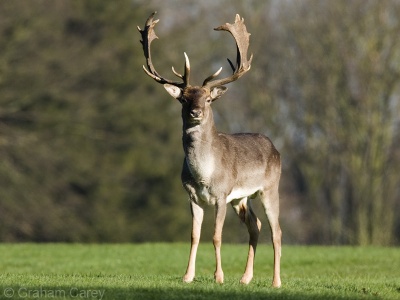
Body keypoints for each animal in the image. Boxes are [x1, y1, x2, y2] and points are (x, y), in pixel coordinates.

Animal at [139, 12, 282, 288]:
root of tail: (276, 148)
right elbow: (194, 236)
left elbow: (216, 236)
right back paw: (245, 278)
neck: (205, 174)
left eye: (207, 99)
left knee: (276, 230)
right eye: (184, 99)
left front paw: (219, 277)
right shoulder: (193, 197)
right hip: (241, 198)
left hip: (270, 187)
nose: (196, 112)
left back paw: (276, 282)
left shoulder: (221, 195)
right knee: (256, 225)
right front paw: (187, 276)